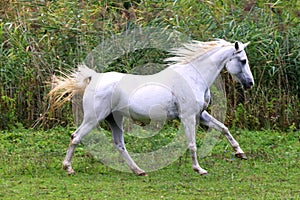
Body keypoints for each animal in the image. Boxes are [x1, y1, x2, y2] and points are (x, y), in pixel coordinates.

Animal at [49, 39, 253, 175]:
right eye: (243, 60)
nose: (250, 83)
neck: (193, 77)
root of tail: (94, 78)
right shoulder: (188, 117)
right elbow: (192, 144)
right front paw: (199, 169)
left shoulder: (200, 115)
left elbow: (223, 128)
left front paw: (240, 153)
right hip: (94, 118)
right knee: (76, 137)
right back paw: (68, 168)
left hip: (114, 119)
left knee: (119, 144)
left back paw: (139, 171)